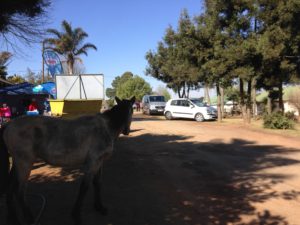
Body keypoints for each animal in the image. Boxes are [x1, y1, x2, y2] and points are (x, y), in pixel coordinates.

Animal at [0, 96, 134, 224]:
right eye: (132, 110)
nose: (127, 131)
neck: (106, 127)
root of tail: (9, 124)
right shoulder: (93, 162)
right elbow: (84, 187)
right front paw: (76, 215)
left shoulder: (99, 163)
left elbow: (97, 184)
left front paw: (99, 207)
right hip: (25, 163)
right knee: (20, 192)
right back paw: (29, 218)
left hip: (17, 163)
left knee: (10, 189)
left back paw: (13, 218)